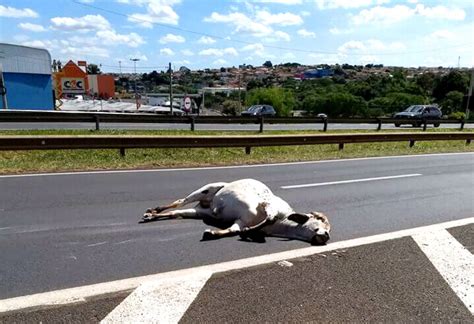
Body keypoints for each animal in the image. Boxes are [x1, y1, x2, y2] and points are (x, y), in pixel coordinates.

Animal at [141, 178, 330, 244]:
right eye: (321, 220)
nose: (327, 236)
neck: (282, 223)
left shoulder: (240, 220)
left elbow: (234, 230)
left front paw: (212, 233)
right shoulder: (268, 204)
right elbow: (268, 217)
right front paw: (248, 232)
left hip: (201, 212)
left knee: (178, 213)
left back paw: (152, 215)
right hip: (205, 189)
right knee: (180, 201)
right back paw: (153, 210)